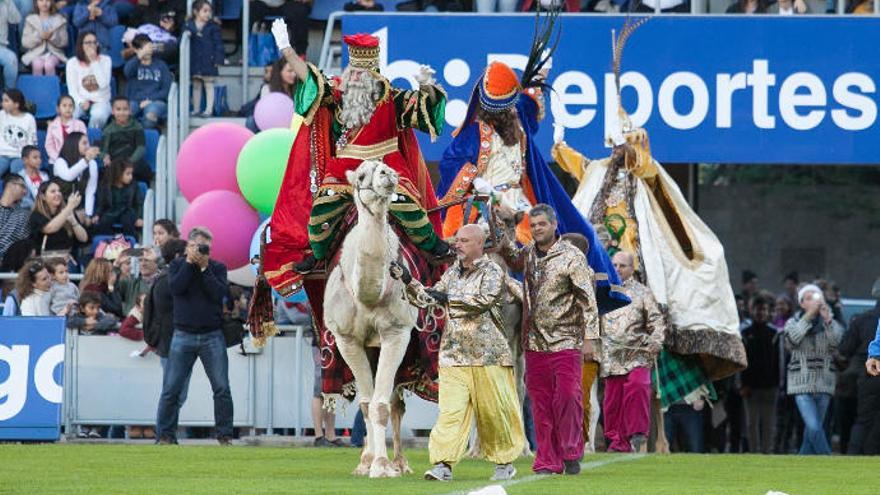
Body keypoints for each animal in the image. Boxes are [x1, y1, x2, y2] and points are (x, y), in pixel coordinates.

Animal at [324, 161, 420, 478]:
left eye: (388, 166)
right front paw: (368, 463)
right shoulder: (347, 339)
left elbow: (381, 405)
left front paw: (382, 465)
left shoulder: (397, 333)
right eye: (362, 175)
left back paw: (400, 462)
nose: (387, 176)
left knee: (395, 403)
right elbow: (367, 404)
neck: (367, 294)